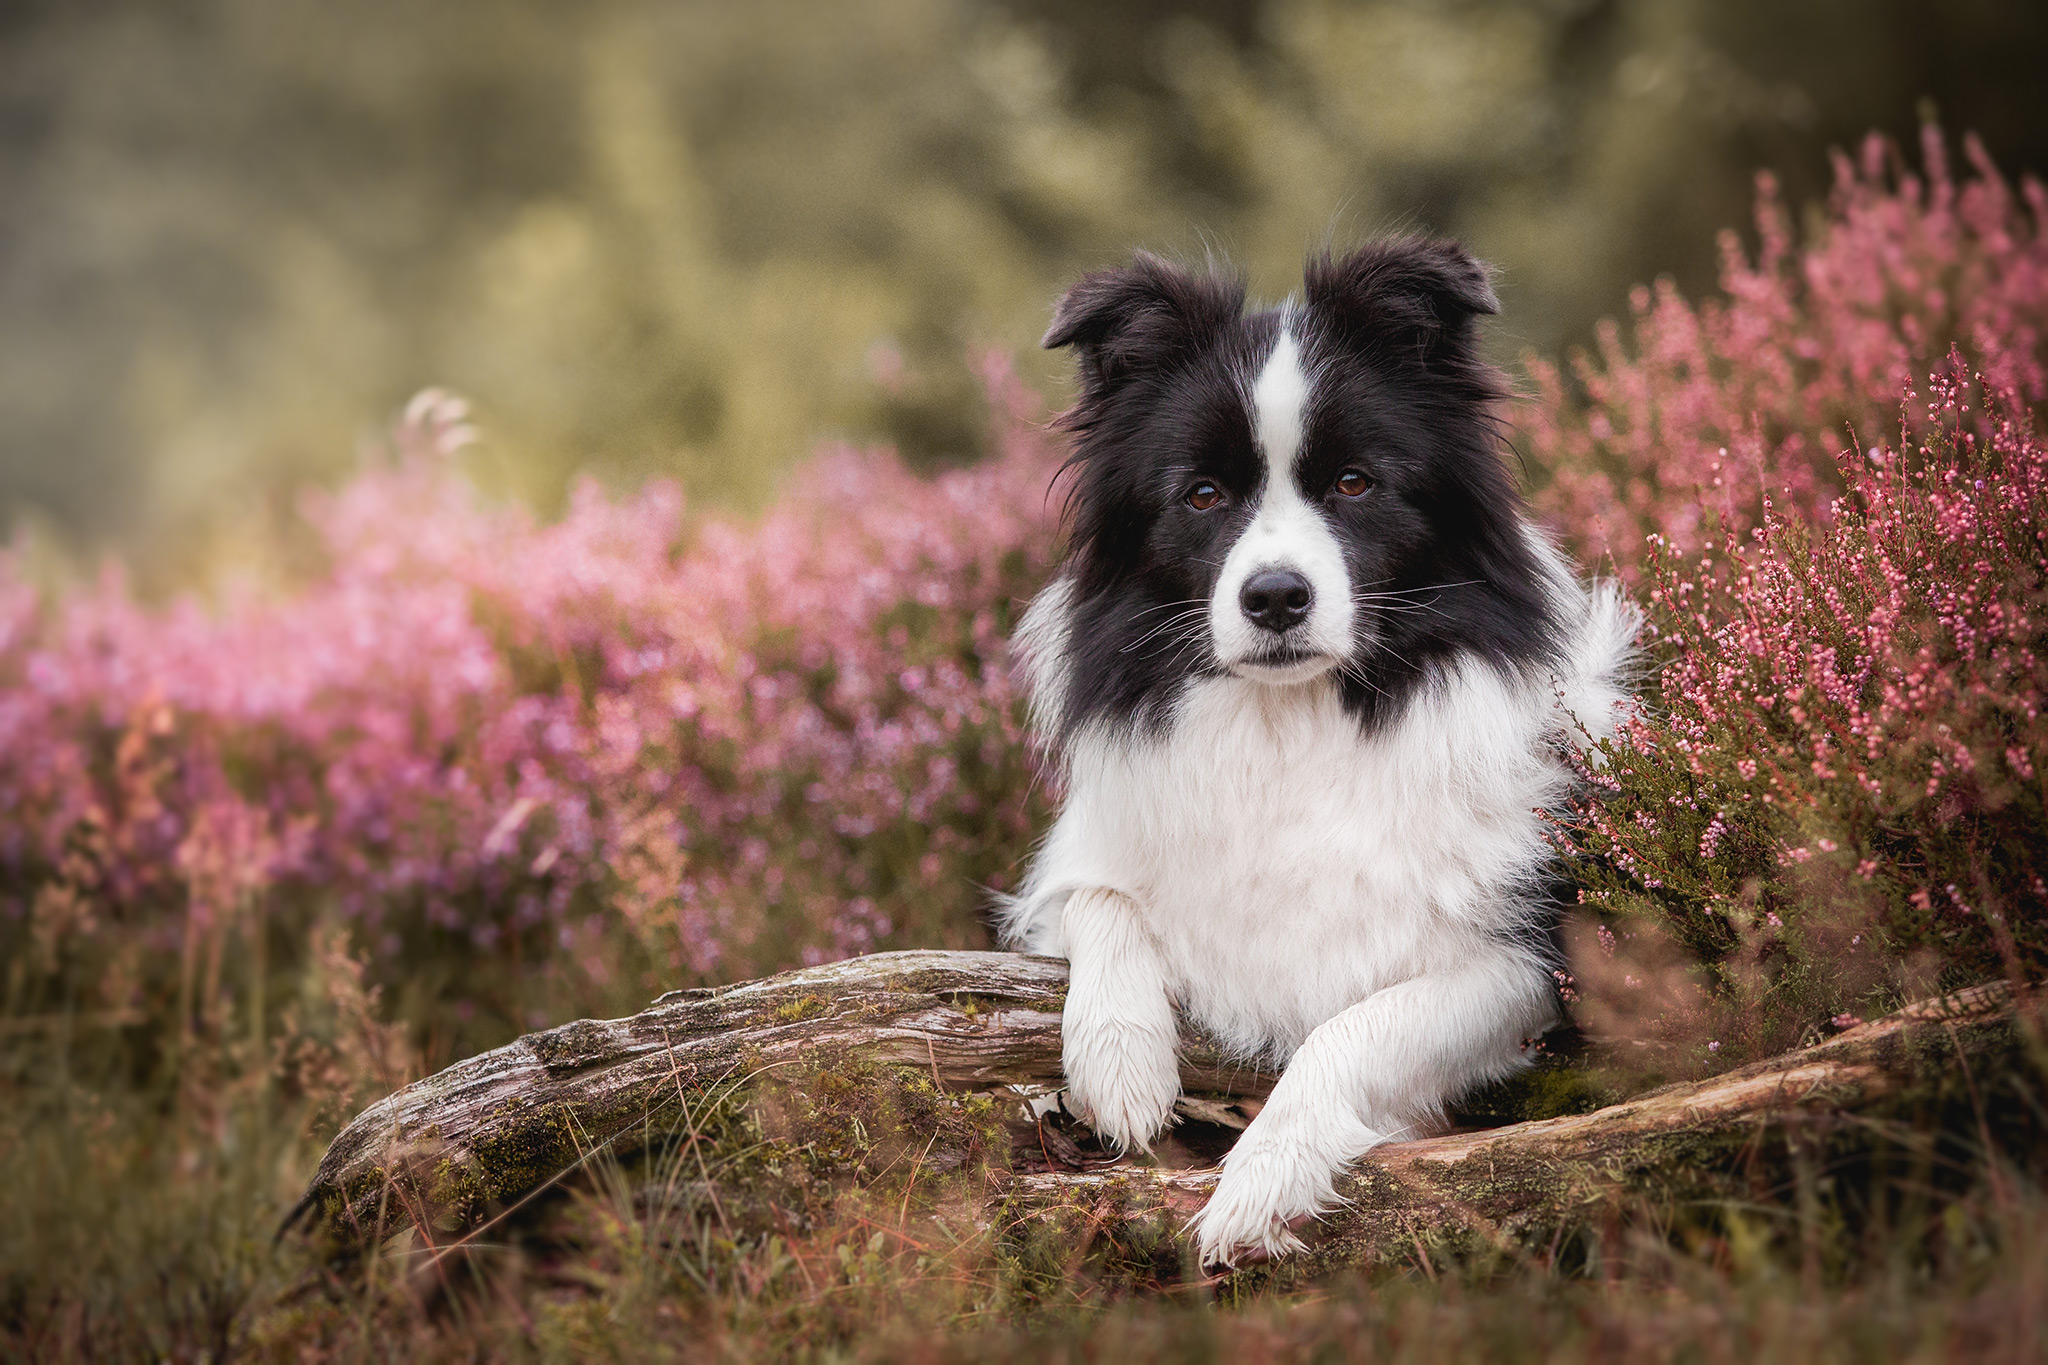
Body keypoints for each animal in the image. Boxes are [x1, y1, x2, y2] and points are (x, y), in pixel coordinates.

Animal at [999, 237, 1638, 1268]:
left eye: (1353, 483)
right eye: (1203, 495)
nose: (1273, 597)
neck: (1293, 719)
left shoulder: (1529, 964)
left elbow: (1350, 1026)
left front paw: (1263, 1178)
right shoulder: (1083, 863)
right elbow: (1101, 898)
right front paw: (1120, 1062)